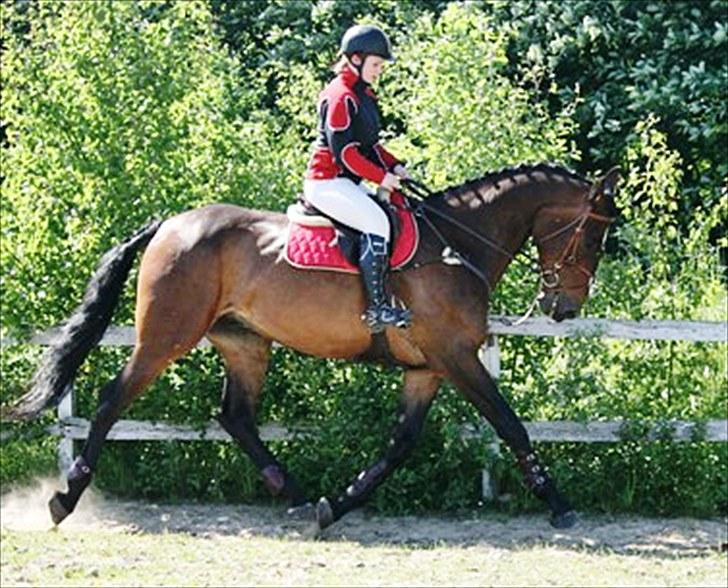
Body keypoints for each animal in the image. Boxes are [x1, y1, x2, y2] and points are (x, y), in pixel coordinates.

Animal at [4, 162, 620, 532]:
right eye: (592, 235)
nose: (564, 307)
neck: (454, 245)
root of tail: (169, 224)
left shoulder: (427, 369)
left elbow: (399, 444)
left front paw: (336, 504)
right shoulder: (456, 358)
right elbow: (510, 425)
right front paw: (559, 505)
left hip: (245, 345)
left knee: (236, 416)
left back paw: (297, 495)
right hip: (165, 338)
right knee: (113, 400)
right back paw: (64, 499)